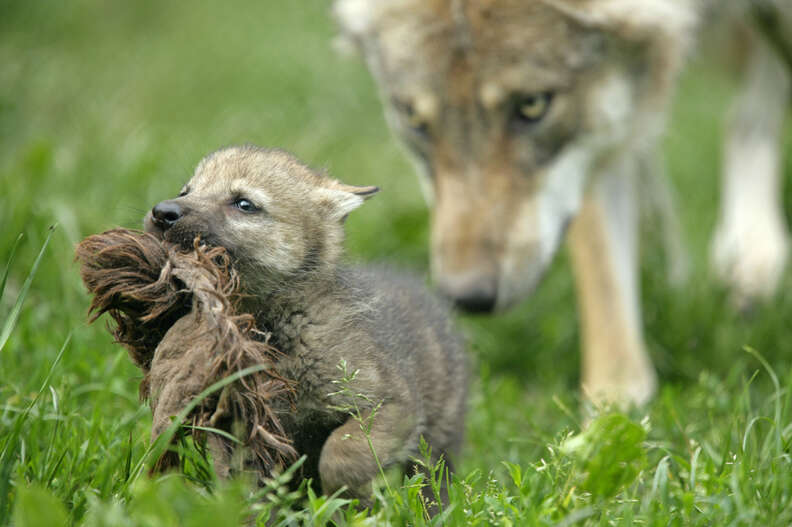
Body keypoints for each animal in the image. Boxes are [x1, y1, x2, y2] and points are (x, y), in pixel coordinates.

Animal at [334, 0, 792, 406]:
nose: (467, 297)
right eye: (413, 118)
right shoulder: (597, 146)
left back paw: (749, 253)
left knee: (748, 112)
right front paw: (613, 419)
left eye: (533, 104)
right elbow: (612, 328)